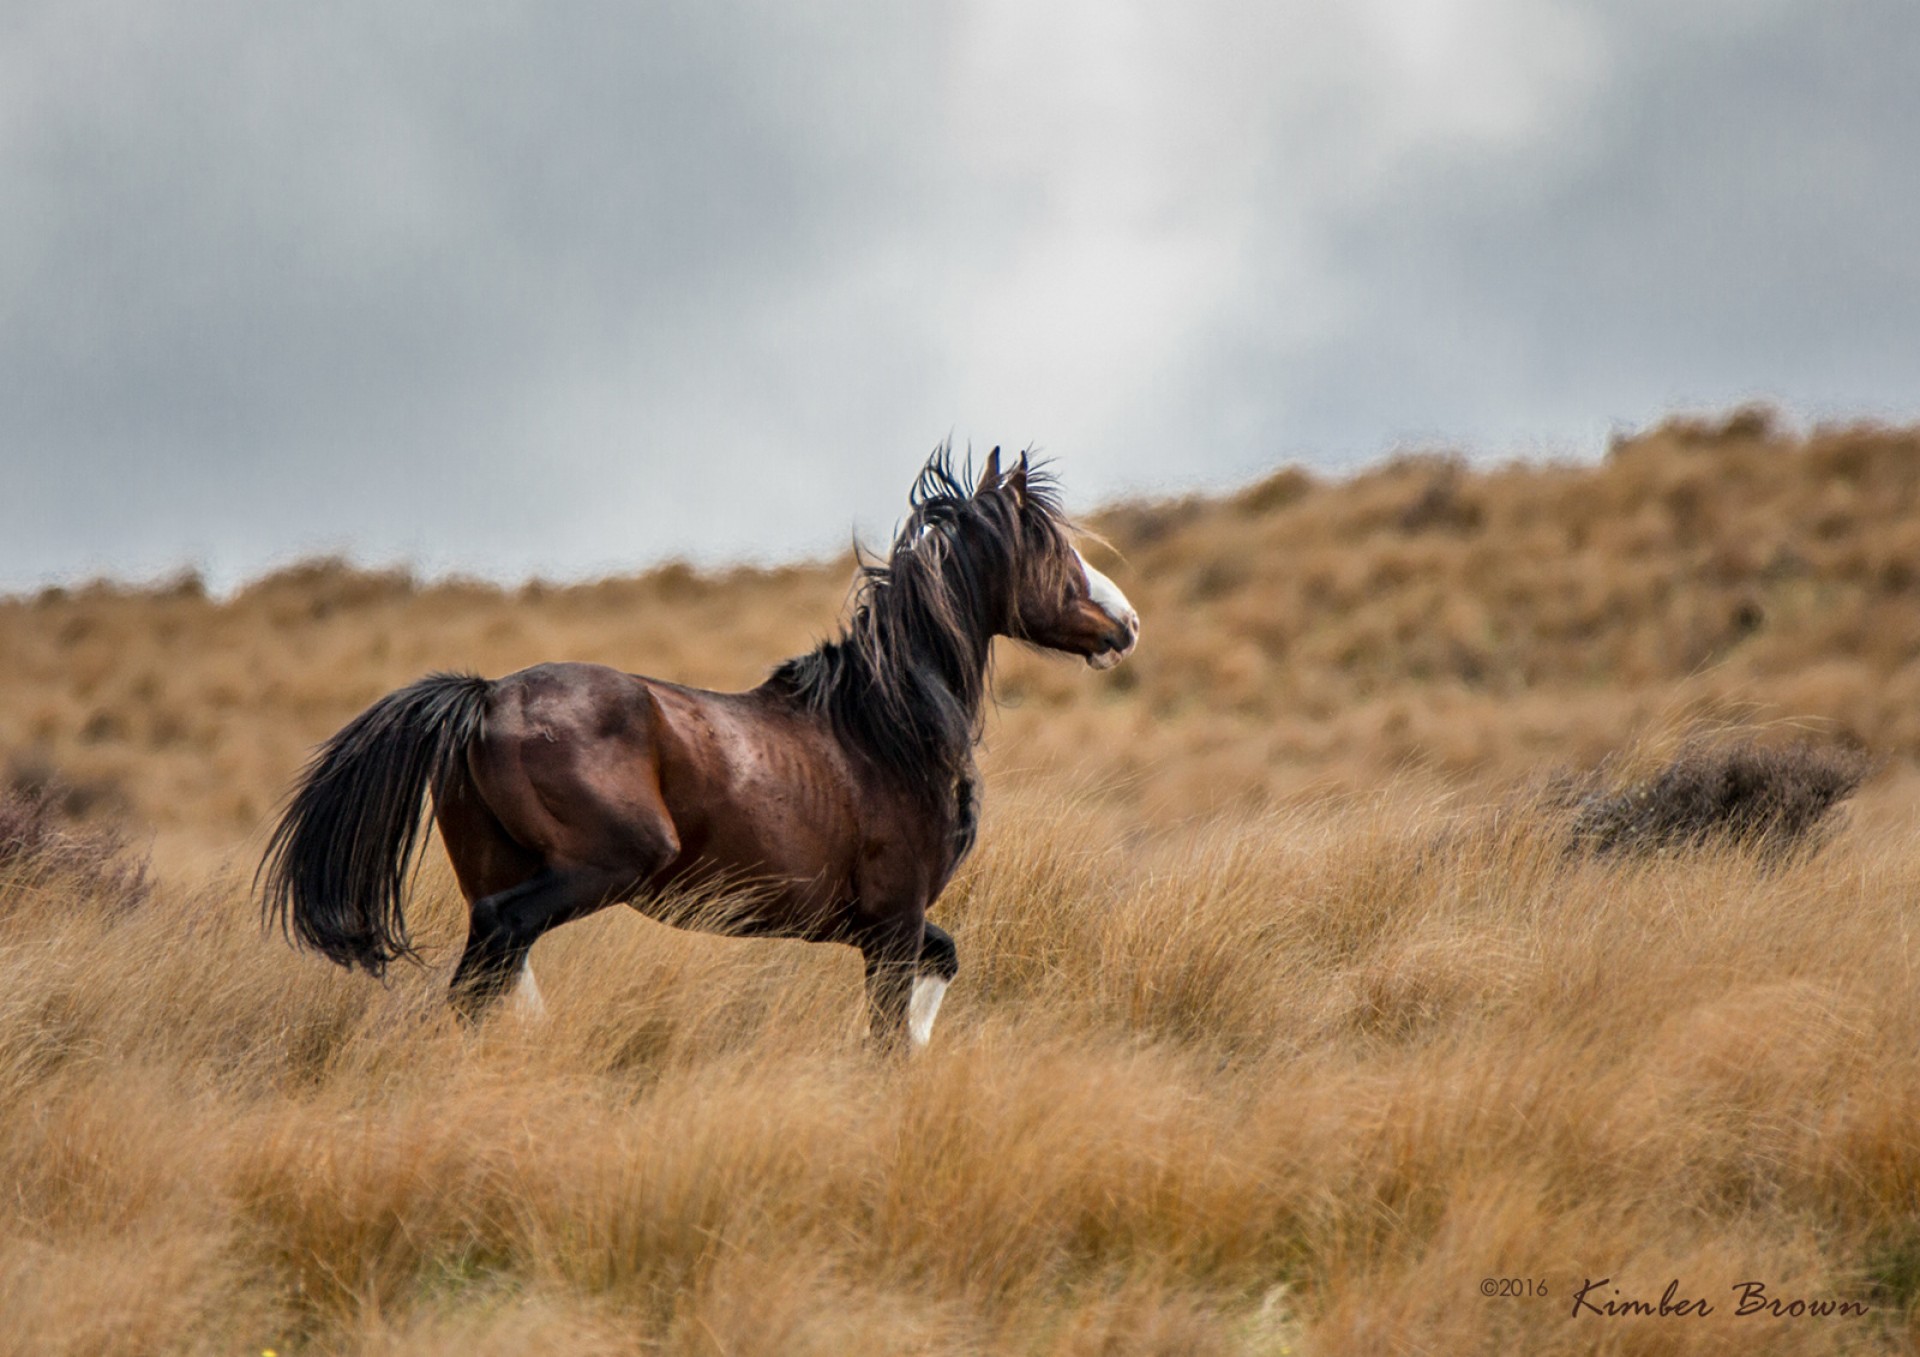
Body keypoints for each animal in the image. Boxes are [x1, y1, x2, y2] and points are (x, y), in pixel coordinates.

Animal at [247, 449, 1128, 1051]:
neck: (885, 728)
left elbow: (937, 976)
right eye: (1051, 549)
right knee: (499, 948)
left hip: (498, 867)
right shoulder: (892, 918)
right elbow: (889, 1032)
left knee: (493, 969)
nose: (1127, 622)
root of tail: (486, 695)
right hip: (601, 865)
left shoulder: (874, 925)